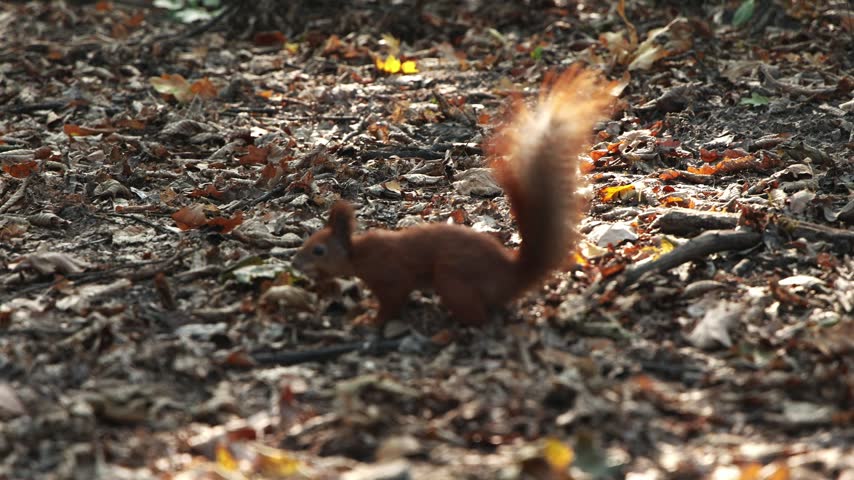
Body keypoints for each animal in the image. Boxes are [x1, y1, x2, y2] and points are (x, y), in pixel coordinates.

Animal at [293, 66, 615, 326]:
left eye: (319, 250)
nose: (296, 264)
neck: (358, 253)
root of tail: (512, 276)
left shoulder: (391, 276)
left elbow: (393, 302)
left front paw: (370, 320)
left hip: (451, 280)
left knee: (479, 318)